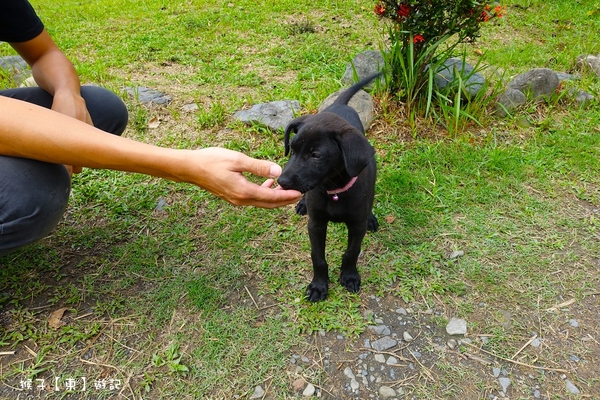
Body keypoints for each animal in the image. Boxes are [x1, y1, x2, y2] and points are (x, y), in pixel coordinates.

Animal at [278, 73, 380, 302]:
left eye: (316, 155)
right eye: (292, 149)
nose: (282, 181)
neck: (334, 191)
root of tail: (339, 104)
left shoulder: (356, 226)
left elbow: (351, 252)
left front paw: (349, 276)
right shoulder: (316, 224)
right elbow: (318, 257)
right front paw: (318, 286)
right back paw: (302, 204)